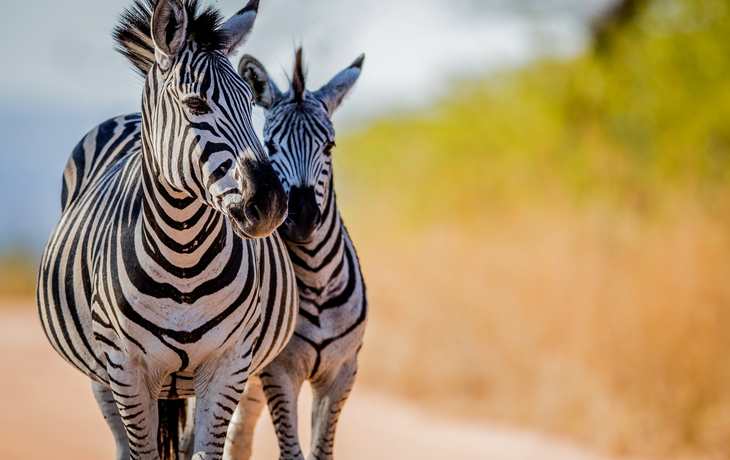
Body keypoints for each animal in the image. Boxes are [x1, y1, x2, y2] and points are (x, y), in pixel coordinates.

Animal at [36, 1, 299, 459]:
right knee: (121, 441)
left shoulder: (229, 365)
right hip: (100, 375)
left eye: (251, 102)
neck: (183, 258)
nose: (270, 206)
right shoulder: (126, 368)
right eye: (195, 103)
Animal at [221, 49, 368, 460]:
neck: (316, 281)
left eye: (329, 146)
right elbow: (292, 452)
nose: (301, 219)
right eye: (270, 146)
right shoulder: (279, 372)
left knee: (236, 439)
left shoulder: (342, 372)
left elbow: (321, 452)